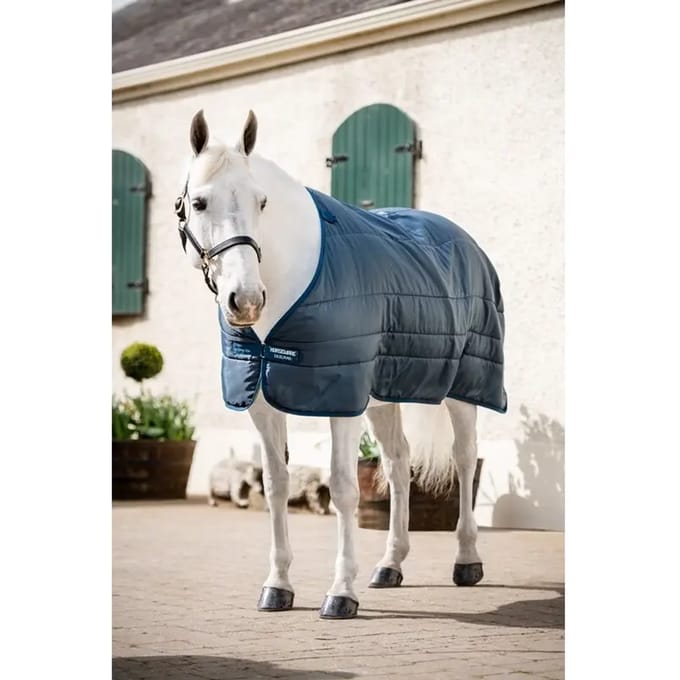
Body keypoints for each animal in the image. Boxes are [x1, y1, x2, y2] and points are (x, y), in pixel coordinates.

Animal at [174, 109, 507, 619]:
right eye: (199, 202)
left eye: (262, 201)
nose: (246, 300)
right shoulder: (262, 401)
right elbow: (274, 486)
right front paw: (277, 586)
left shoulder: (340, 396)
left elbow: (345, 487)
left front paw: (341, 592)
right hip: (384, 396)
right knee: (398, 463)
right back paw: (390, 565)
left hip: (462, 387)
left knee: (464, 458)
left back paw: (467, 560)